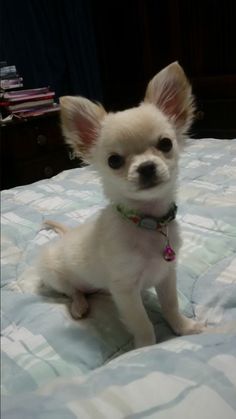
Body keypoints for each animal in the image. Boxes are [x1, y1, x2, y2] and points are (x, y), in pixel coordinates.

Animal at [37, 62, 206, 350]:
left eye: (166, 143)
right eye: (114, 161)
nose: (146, 167)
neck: (147, 223)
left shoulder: (166, 275)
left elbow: (171, 306)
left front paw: (185, 327)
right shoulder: (125, 290)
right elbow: (143, 323)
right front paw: (146, 349)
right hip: (55, 275)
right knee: (73, 291)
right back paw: (79, 306)